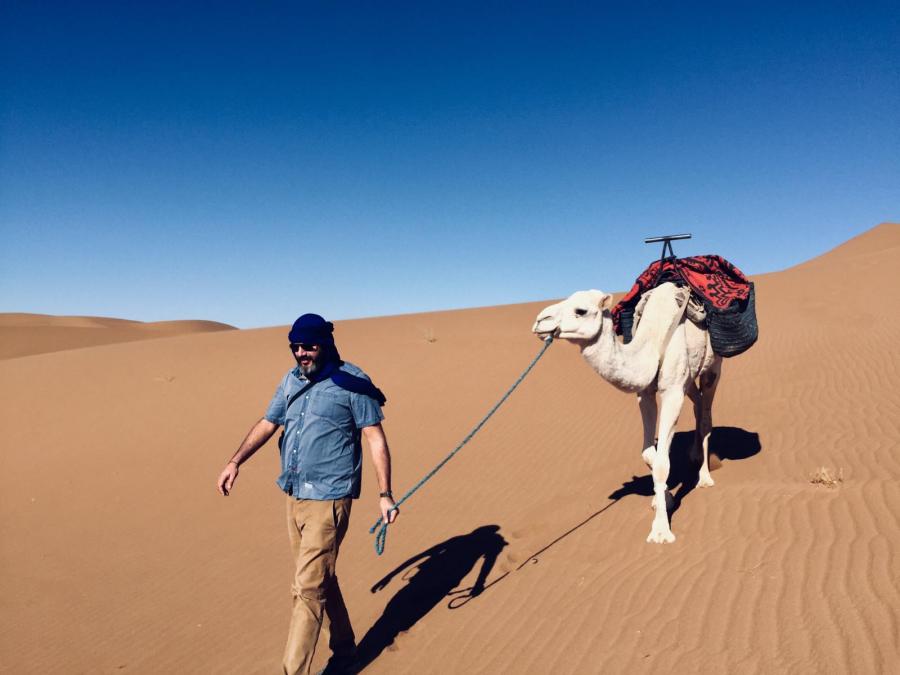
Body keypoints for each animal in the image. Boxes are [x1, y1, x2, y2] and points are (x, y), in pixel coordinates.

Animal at [536, 284, 724, 544]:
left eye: (581, 310)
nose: (540, 320)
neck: (651, 343)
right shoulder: (645, 394)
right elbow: (648, 455)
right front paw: (663, 498)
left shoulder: (672, 392)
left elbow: (662, 463)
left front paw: (660, 530)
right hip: (688, 379)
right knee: (697, 404)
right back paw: (694, 456)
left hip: (713, 366)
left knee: (705, 413)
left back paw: (704, 477)